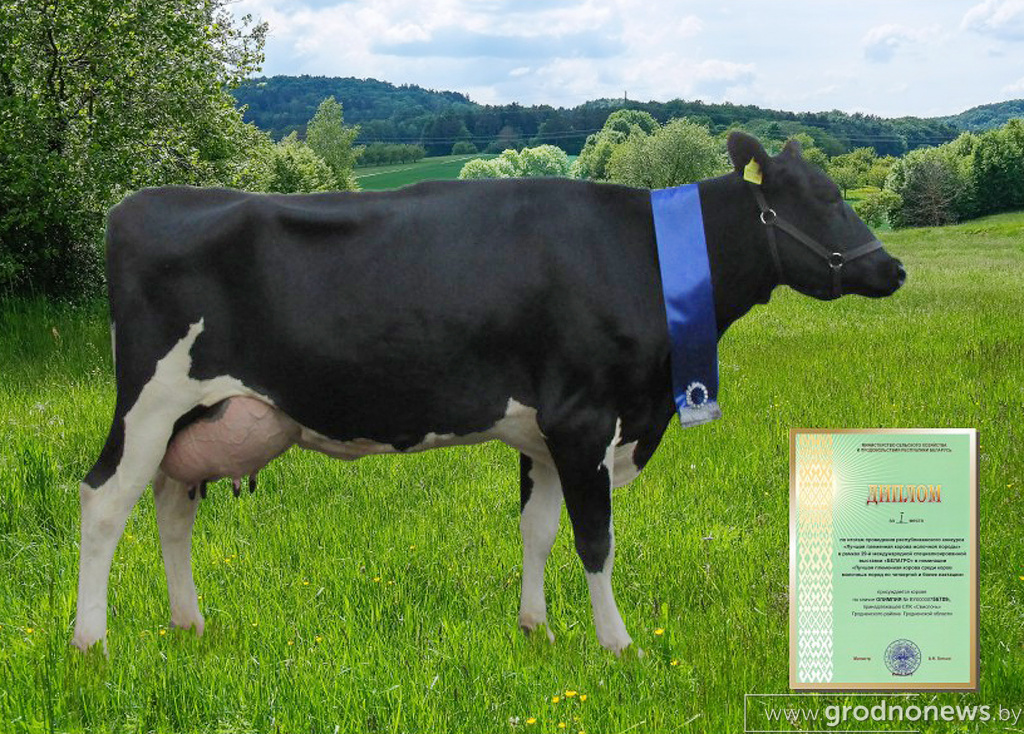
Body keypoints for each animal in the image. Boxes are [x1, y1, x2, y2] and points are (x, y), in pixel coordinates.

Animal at [72, 133, 905, 654]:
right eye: (827, 195)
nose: (892, 267)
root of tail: (133, 203)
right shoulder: (585, 418)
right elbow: (594, 539)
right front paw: (618, 644)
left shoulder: (544, 430)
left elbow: (537, 530)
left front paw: (537, 629)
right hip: (149, 401)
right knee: (105, 500)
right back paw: (91, 641)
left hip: (198, 416)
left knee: (172, 505)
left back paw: (189, 625)